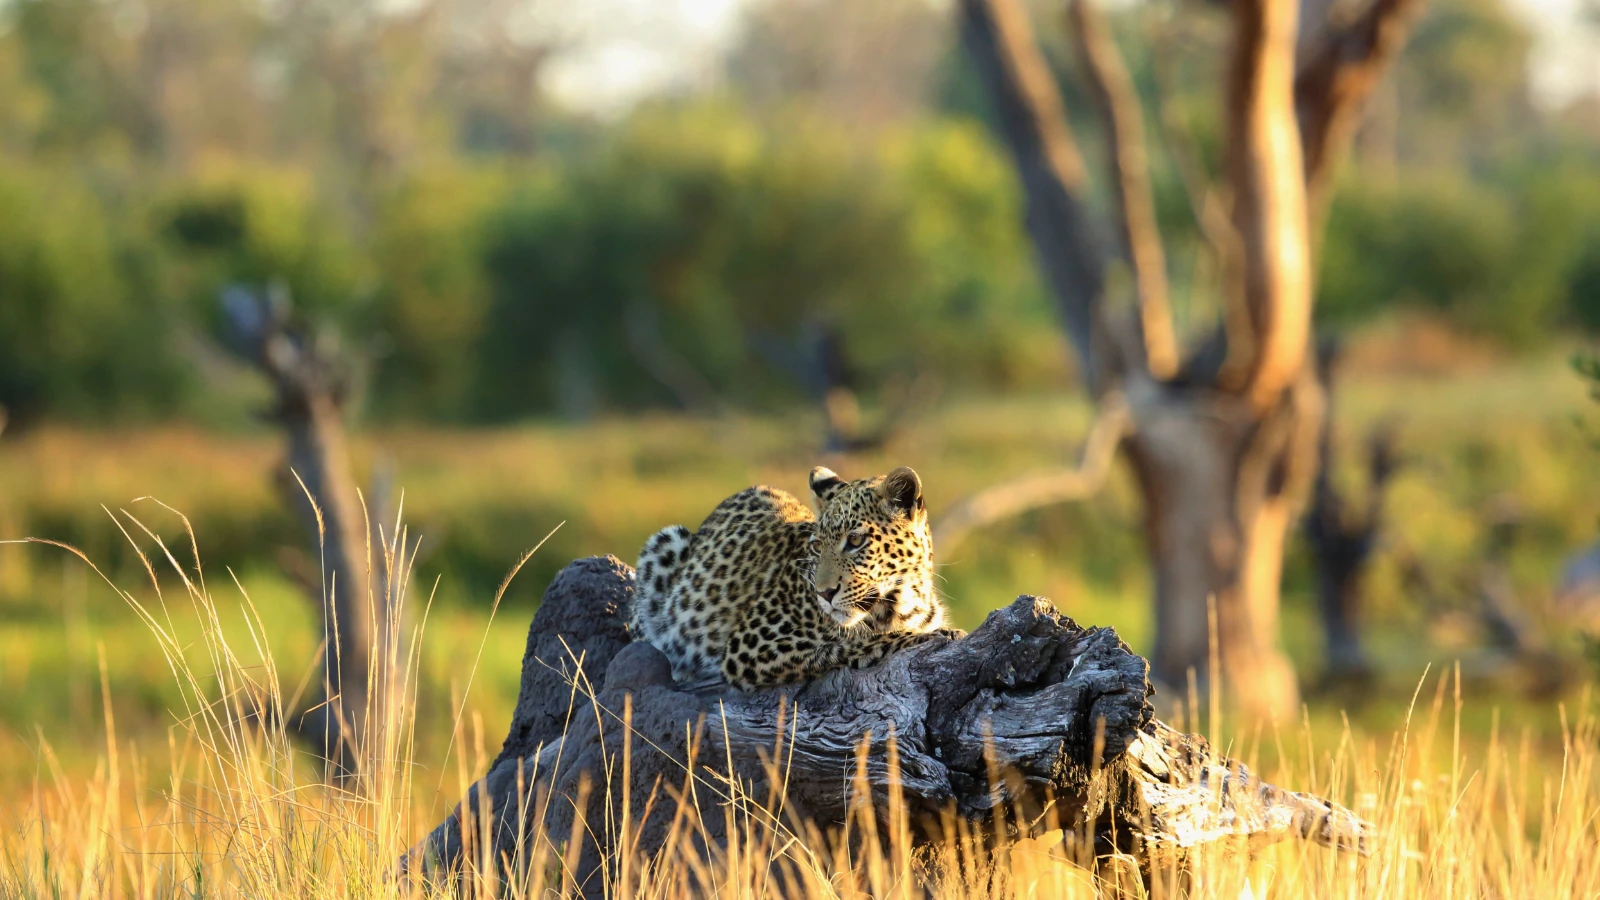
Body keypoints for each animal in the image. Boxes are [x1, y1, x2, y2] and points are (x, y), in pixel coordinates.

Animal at [630, 465, 960, 691]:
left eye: (855, 540)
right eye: (817, 546)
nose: (824, 594)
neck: (902, 602)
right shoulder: (750, 645)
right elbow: (852, 642)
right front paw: (929, 636)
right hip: (666, 542)